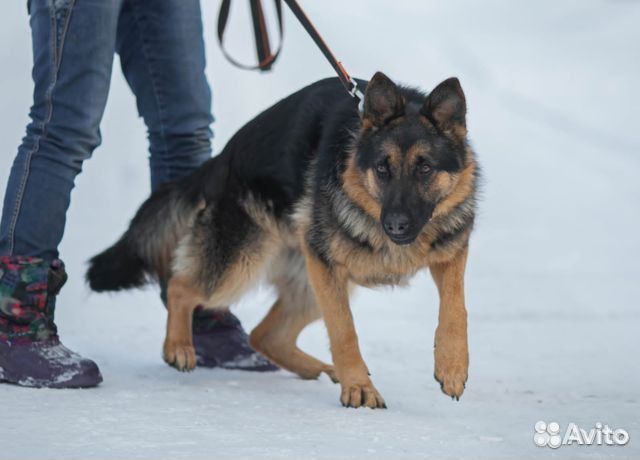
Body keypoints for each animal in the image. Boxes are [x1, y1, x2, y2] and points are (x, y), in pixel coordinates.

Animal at [90, 73, 480, 410]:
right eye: (382, 169)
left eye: (425, 168)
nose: (396, 225)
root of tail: (222, 159)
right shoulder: (327, 266)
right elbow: (344, 330)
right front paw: (359, 388)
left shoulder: (450, 252)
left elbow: (456, 308)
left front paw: (452, 367)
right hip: (248, 264)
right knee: (180, 286)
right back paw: (179, 346)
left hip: (312, 284)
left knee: (264, 336)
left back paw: (321, 370)